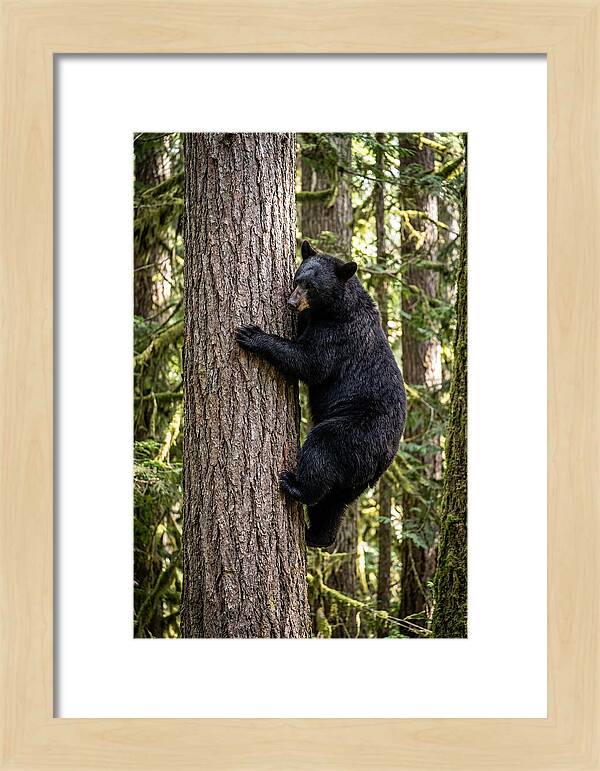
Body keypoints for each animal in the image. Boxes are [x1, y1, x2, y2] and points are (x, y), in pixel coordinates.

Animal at [236, 239, 406, 548]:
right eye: (297, 279)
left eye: (311, 287)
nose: (292, 302)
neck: (336, 308)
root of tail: (384, 459)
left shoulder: (338, 336)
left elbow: (310, 362)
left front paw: (253, 334)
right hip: (357, 477)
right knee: (334, 502)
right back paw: (318, 535)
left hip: (354, 432)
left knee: (322, 451)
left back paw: (295, 486)